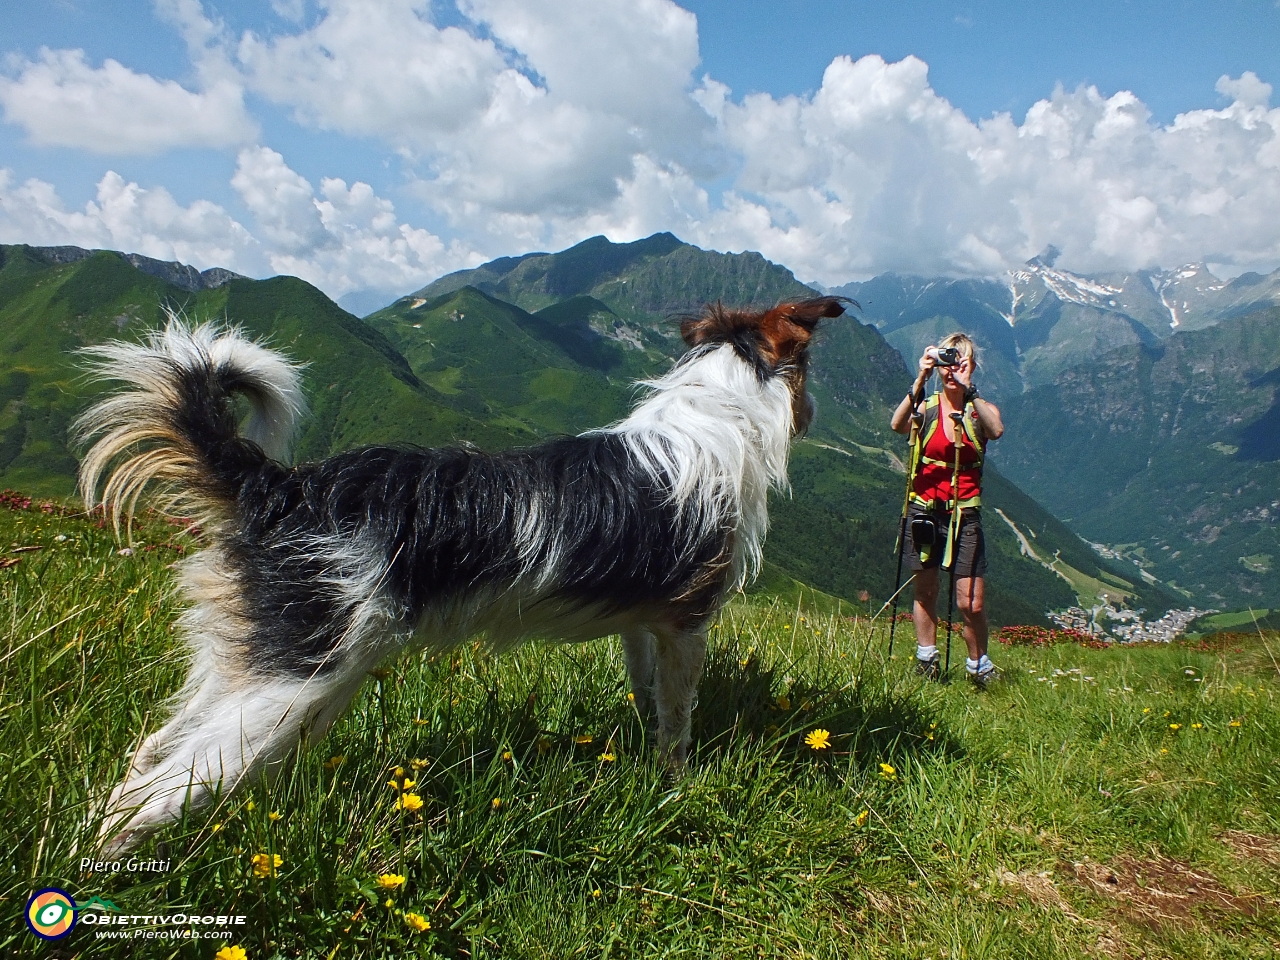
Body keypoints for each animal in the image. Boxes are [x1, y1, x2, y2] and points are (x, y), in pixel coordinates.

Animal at [74, 296, 844, 855]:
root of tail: (283, 487)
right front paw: (675, 786)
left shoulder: (641, 620)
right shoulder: (687, 620)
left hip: (247, 658)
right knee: (151, 799)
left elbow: (644, 687)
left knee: (146, 759)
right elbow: (677, 716)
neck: (714, 415)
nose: (812, 414)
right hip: (293, 680)